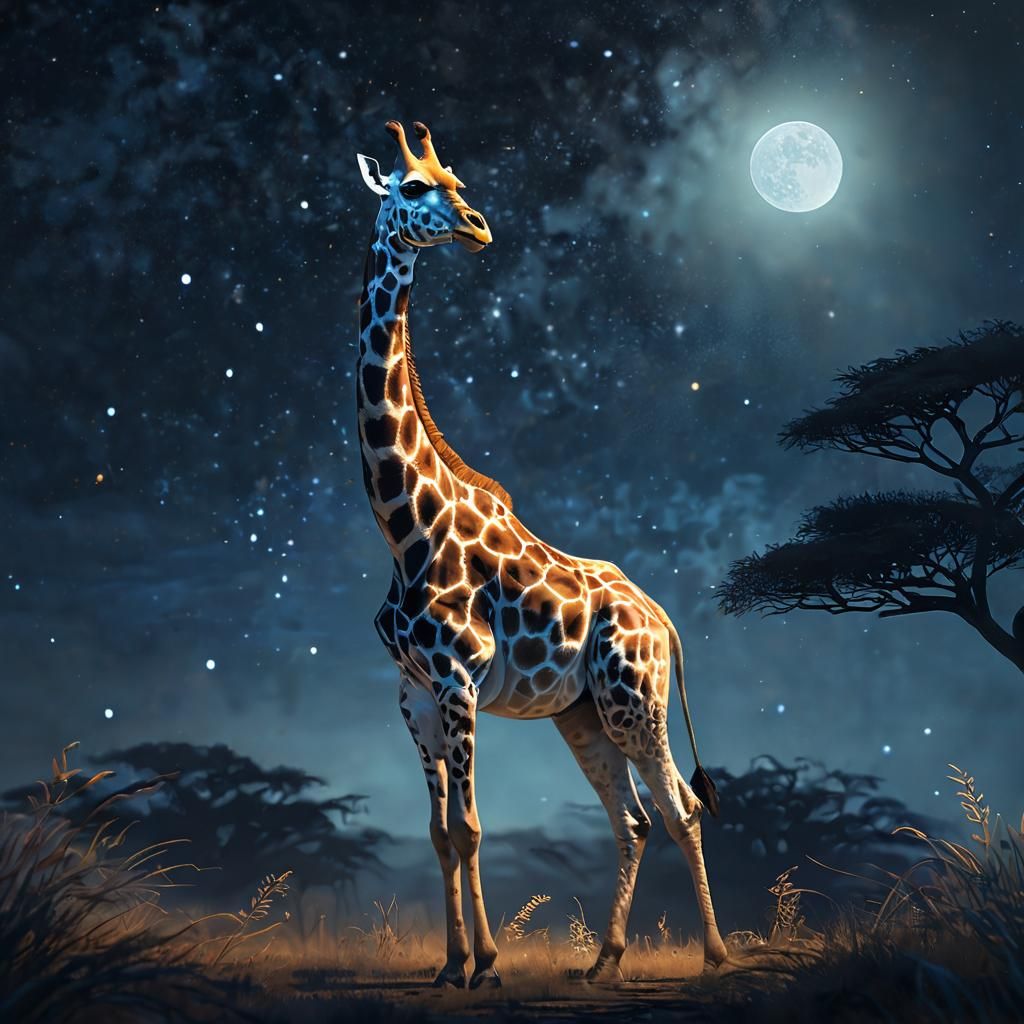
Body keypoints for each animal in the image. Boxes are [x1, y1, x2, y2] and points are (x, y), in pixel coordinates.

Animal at [355, 120, 728, 988]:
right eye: (413, 187)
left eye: (456, 183)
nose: (478, 226)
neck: (402, 527)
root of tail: (665, 621)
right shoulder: (411, 693)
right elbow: (439, 832)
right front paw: (447, 966)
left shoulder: (458, 681)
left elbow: (471, 828)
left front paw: (486, 964)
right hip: (581, 714)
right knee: (634, 820)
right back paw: (605, 960)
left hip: (636, 700)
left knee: (681, 807)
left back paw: (717, 955)